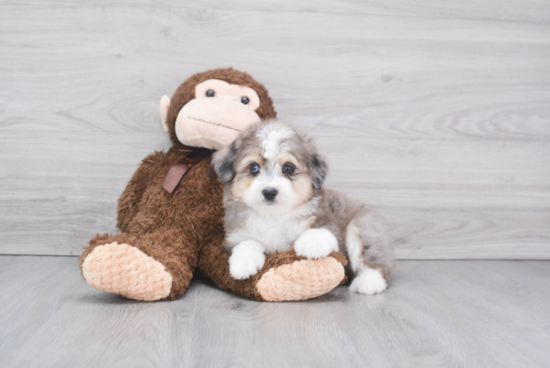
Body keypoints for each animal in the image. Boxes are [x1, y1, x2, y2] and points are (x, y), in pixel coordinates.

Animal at [212, 122, 396, 294]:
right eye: (253, 167)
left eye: (288, 168)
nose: (269, 192)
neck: (273, 216)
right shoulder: (235, 235)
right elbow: (246, 242)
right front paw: (243, 263)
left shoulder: (330, 226)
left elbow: (324, 233)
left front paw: (311, 242)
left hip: (363, 226)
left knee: (374, 261)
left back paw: (369, 283)